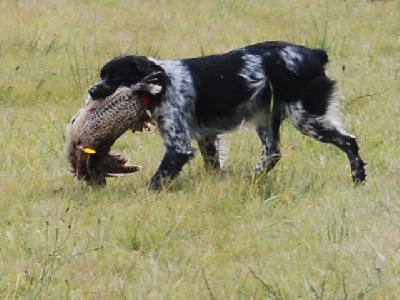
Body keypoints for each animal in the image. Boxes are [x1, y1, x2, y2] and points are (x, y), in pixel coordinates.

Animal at [89, 41, 368, 191]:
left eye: (115, 76)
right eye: (103, 75)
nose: (92, 91)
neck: (163, 82)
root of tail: (314, 53)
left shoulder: (178, 147)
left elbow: (157, 179)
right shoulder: (206, 137)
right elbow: (212, 165)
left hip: (306, 118)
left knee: (349, 141)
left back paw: (358, 179)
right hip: (266, 119)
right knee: (272, 153)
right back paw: (250, 179)